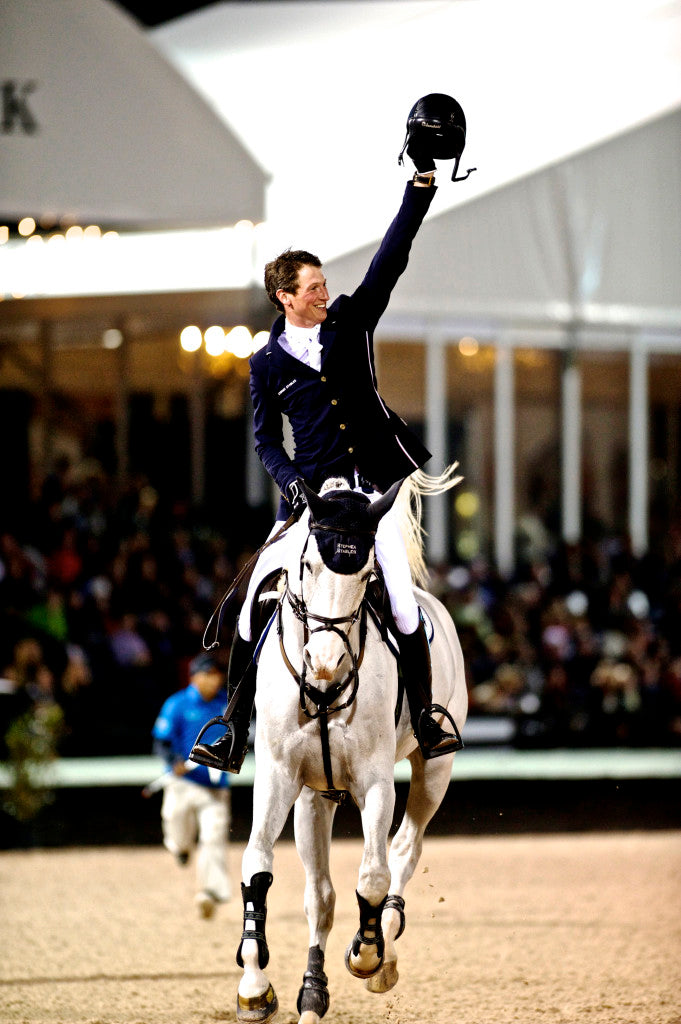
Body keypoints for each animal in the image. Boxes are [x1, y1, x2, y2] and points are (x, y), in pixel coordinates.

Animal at [235, 473, 466, 1024]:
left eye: (366, 576)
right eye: (306, 567)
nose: (324, 662)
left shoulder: (375, 782)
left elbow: (374, 876)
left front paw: (366, 955)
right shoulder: (279, 776)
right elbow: (257, 865)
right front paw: (255, 986)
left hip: (436, 768)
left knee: (404, 849)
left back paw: (385, 950)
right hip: (313, 798)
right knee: (320, 896)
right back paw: (312, 995)